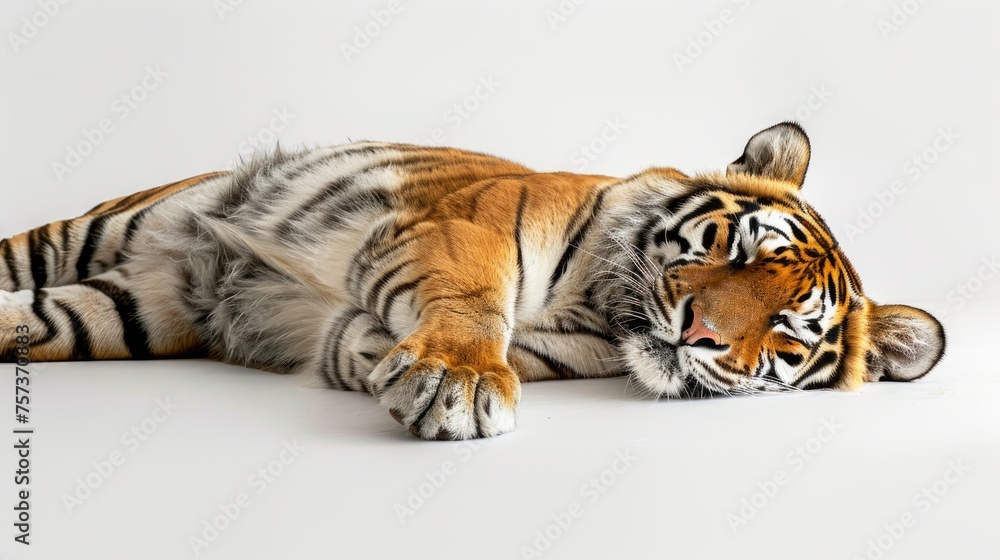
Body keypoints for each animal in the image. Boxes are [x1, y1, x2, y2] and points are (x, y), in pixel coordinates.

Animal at [0, 122, 945, 440]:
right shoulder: (467, 226)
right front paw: (457, 380)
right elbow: (474, 301)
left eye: (784, 329)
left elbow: (367, 343)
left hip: (126, 308)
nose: (699, 334)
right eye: (738, 251)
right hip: (114, 224)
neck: (607, 308)